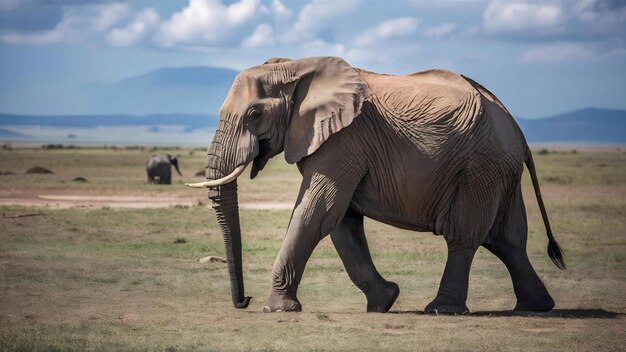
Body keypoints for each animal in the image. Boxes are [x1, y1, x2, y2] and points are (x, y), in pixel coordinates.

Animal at [186, 56, 564, 314]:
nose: (244, 301)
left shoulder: (345, 139)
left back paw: (442, 309)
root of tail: (513, 124)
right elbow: (341, 222)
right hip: (499, 169)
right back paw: (537, 307)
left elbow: (317, 212)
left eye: (254, 114)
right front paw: (384, 302)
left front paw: (276, 309)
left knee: (465, 236)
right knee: (507, 240)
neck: (296, 67)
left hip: (479, 167)